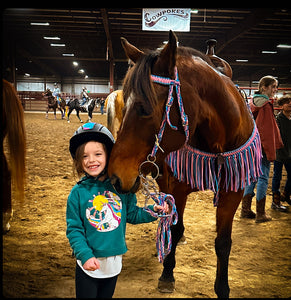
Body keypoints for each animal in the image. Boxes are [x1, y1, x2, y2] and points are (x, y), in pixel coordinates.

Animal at [108, 31, 264, 298]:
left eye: (144, 108)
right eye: (124, 103)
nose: (116, 176)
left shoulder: (232, 191)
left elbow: (223, 241)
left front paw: (223, 287)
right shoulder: (176, 187)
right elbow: (176, 227)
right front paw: (167, 275)